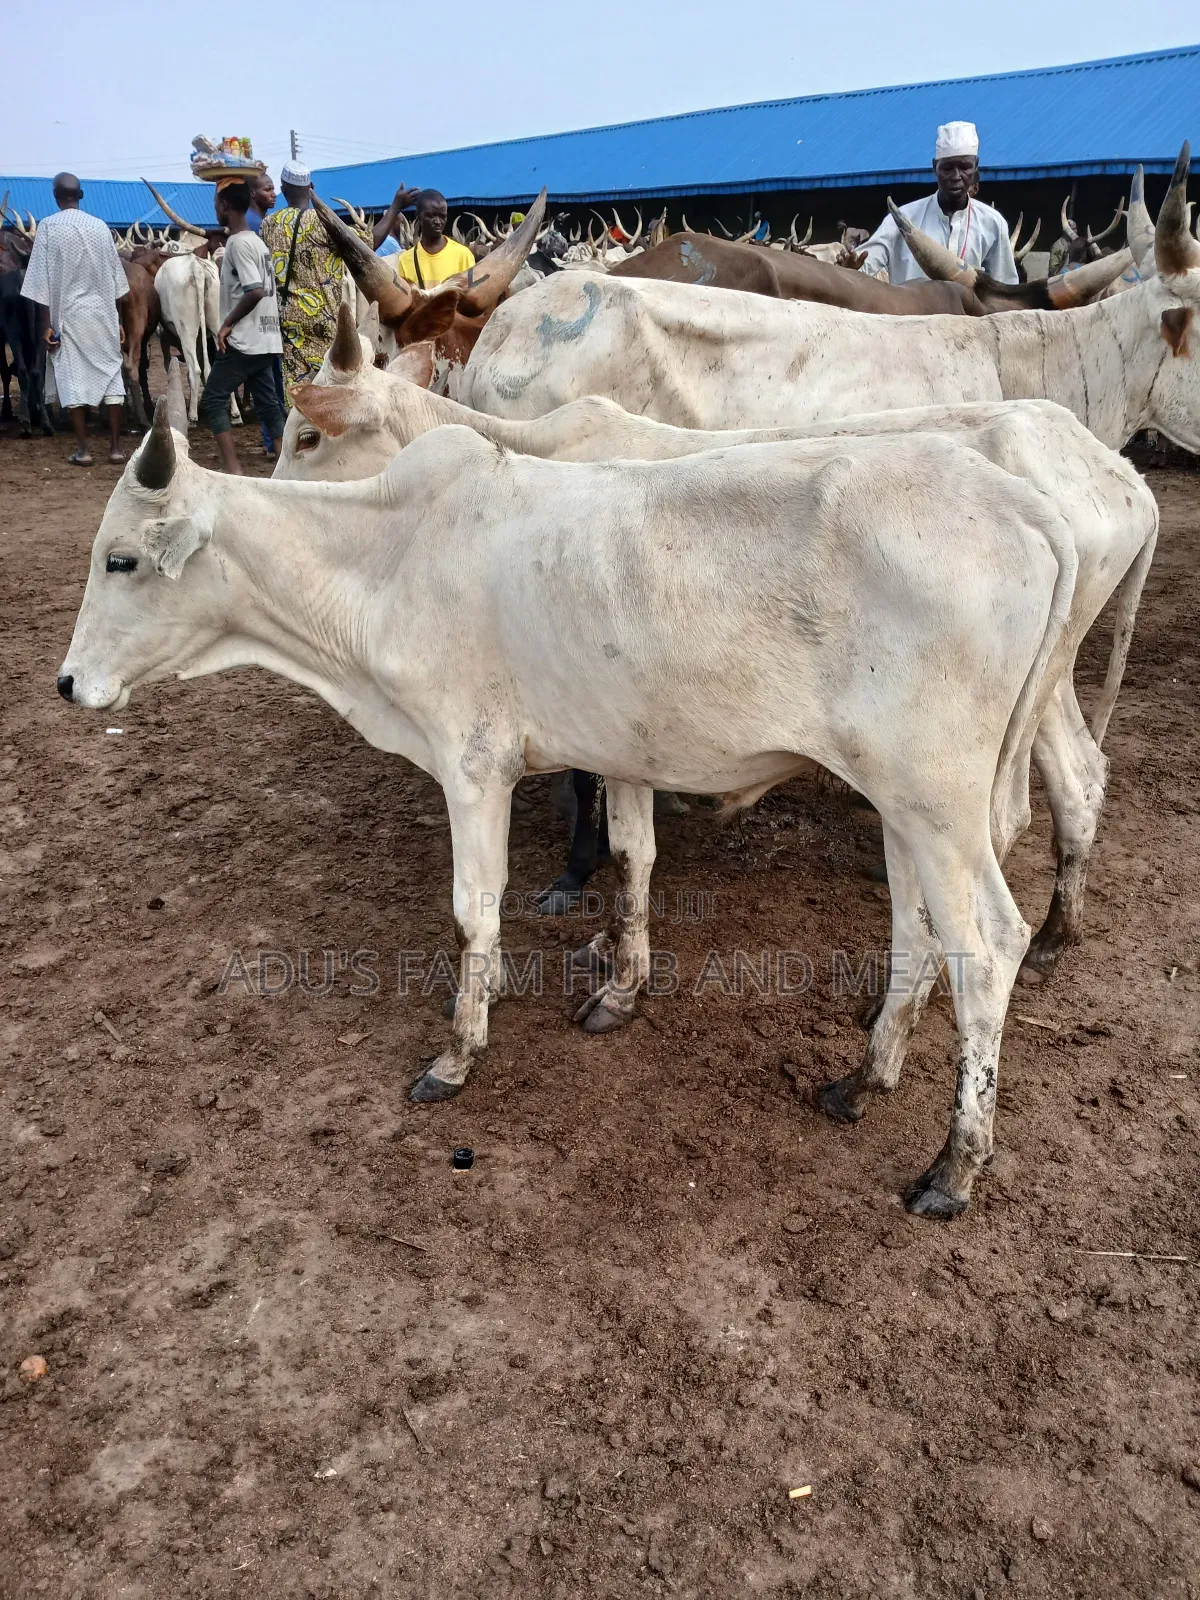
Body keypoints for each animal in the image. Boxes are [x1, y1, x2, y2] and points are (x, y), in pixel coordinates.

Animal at [61, 397, 1077, 1220]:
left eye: (121, 559)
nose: (69, 684)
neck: (390, 558)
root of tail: (1024, 506)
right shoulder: (621, 753)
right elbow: (631, 862)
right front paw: (606, 989)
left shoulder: (473, 764)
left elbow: (474, 909)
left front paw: (458, 1051)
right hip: (904, 806)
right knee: (917, 933)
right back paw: (861, 1080)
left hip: (940, 803)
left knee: (989, 949)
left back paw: (954, 1166)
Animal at [277, 309, 1158, 973]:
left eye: (309, 437)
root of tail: (1115, 474)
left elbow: (590, 792)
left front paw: (574, 886)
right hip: (1048, 685)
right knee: (1078, 778)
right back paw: (1056, 934)